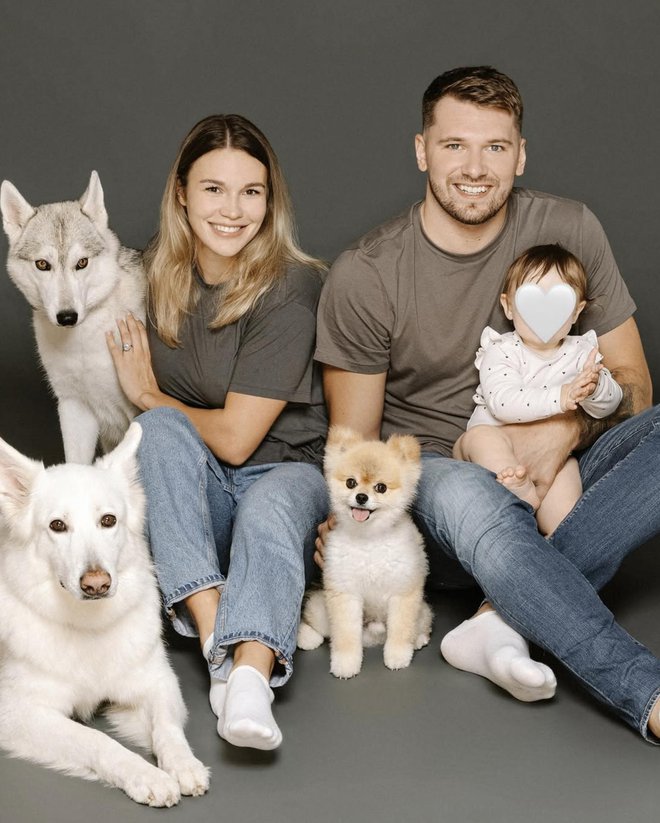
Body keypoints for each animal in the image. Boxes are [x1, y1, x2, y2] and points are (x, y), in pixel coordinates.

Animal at [0, 422, 209, 808]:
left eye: (108, 520)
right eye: (57, 526)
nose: (96, 583)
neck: (88, 623)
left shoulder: (157, 682)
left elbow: (167, 726)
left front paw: (183, 763)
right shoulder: (17, 713)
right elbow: (95, 739)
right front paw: (146, 775)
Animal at [298, 428, 434, 680]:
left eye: (381, 487)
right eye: (351, 483)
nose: (361, 497)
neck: (369, 539)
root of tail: (373, 630)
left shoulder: (404, 592)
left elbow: (401, 630)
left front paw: (398, 656)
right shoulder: (345, 593)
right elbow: (345, 636)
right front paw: (346, 664)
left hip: (423, 610)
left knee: (420, 625)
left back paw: (418, 639)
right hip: (320, 607)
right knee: (317, 625)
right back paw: (306, 636)